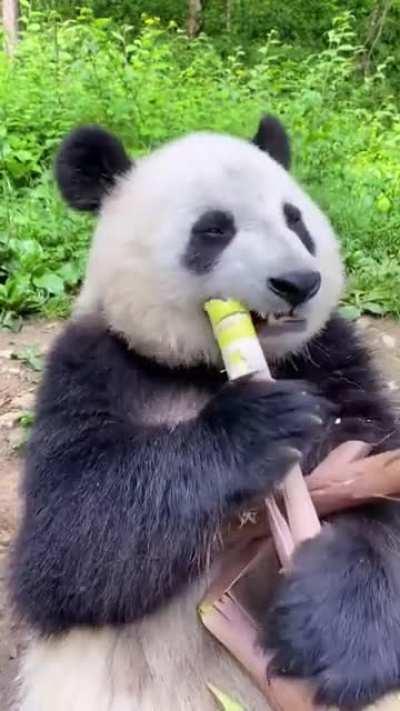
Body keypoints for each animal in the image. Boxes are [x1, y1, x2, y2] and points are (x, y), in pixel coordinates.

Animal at [9, 115, 400, 711]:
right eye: (214, 230)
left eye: (295, 220)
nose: (297, 282)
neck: (206, 368)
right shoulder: (90, 368)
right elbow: (67, 544)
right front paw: (260, 424)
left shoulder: (332, 360)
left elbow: (379, 473)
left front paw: (332, 636)